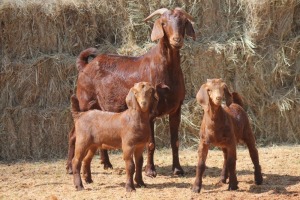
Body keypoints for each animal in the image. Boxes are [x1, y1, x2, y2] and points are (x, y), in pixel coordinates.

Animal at [66, 7, 196, 177]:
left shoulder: (176, 108)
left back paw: (106, 163)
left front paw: (178, 169)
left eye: (183, 22)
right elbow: (151, 143)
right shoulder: (150, 111)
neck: (165, 69)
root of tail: (85, 66)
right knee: (73, 134)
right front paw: (150, 170)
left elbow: (175, 142)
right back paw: (69, 167)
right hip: (84, 102)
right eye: (163, 23)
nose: (177, 40)